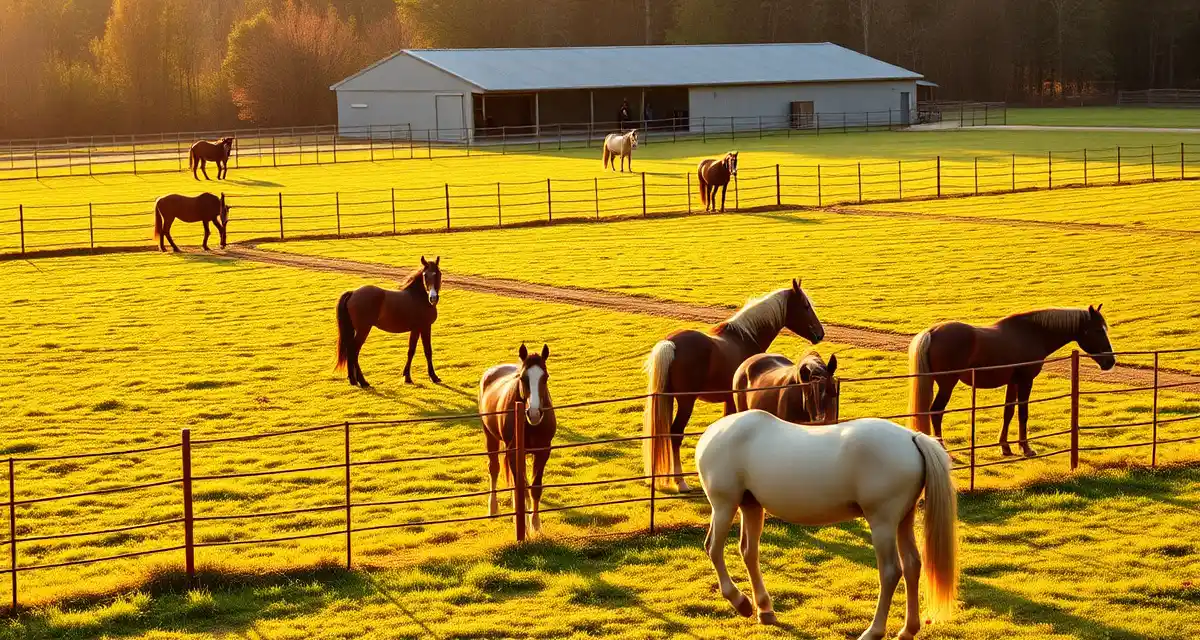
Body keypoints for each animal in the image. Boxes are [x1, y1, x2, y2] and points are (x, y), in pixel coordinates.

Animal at [334, 257, 442, 388]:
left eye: (438, 273)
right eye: (425, 275)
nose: (433, 298)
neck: (418, 297)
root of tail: (353, 292)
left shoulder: (416, 329)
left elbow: (411, 351)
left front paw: (407, 377)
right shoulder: (425, 327)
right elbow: (428, 351)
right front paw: (433, 377)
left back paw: (353, 380)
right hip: (363, 330)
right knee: (353, 351)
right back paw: (362, 381)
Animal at [479, 344, 556, 534]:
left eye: (545, 377)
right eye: (523, 378)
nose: (534, 413)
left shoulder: (543, 451)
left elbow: (534, 488)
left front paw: (536, 525)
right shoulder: (513, 452)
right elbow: (519, 488)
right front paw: (525, 527)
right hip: (490, 436)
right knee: (494, 468)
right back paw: (493, 509)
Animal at [644, 279, 824, 492]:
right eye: (805, 306)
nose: (820, 334)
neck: (744, 338)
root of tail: (671, 344)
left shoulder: (728, 400)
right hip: (686, 402)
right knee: (676, 434)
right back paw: (681, 482)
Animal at [696, 411, 958, 638]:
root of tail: (912, 438)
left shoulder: (725, 504)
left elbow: (714, 549)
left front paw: (740, 601)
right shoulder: (748, 505)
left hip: (882, 523)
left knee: (891, 571)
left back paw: (873, 631)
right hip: (902, 520)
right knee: (912, 565)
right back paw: (907, 630)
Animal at [909, 306, 1115, 457]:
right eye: (1098, 329)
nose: (1110, 362)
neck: (1032, 333)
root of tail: (933, 332)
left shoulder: (1013, 382)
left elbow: (1008, 412)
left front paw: (1005, 447)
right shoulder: (1025, 381)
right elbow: (1023, 413)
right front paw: (1026, 448)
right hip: (947, 385)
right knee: (936, 412)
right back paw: (943, 450)